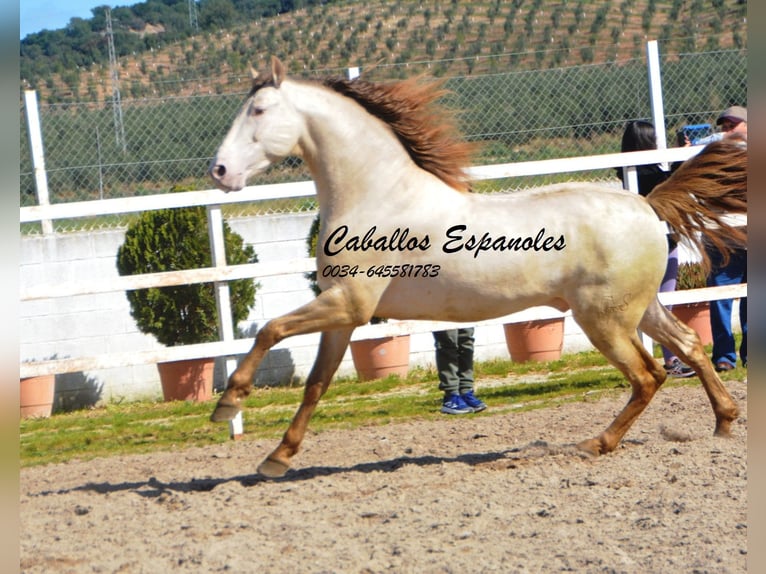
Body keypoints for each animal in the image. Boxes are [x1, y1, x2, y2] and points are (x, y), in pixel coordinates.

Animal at [207, 57, 748, 482]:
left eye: (258, 110)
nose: (220, 172)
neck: (379, 194)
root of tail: (646, 204)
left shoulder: (349, 305)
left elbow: (270, 330)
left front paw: (228, 404)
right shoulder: (343, 315)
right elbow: (316, 383)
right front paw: (277, 458)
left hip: (605, 320)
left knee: (648, 375)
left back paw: (597, 444)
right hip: (639, 308)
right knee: (688, 345)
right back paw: (723, 421)